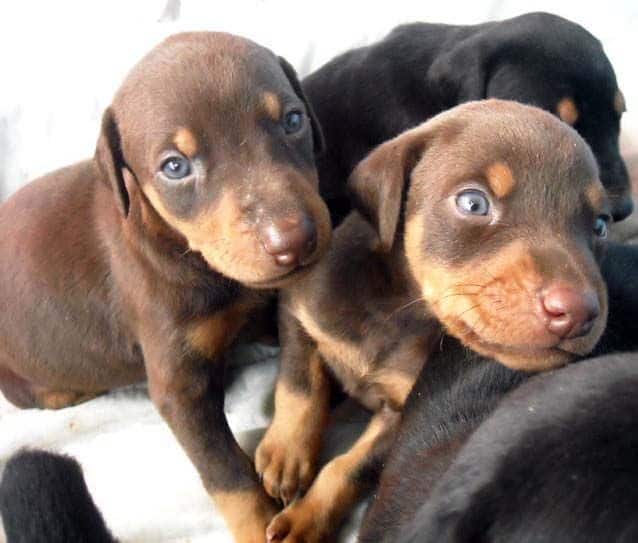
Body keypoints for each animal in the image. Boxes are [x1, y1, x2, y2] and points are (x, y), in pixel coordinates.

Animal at [0, 31, 332, 540]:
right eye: (175, 167)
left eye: (293, 120)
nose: (294, 242)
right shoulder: (180, 385)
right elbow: (225, 473)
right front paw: (257, 524)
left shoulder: (277, 296)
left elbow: (301, 357)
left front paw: (289, 448)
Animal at [258, 100, 612, 540]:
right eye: (474, 203)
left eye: (600, 224)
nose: (580, 311)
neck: (399, 306)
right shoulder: (297, 307)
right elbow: (299, 384)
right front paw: (287, 454)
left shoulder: (400, 416)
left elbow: (349, 466)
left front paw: (307, 517)